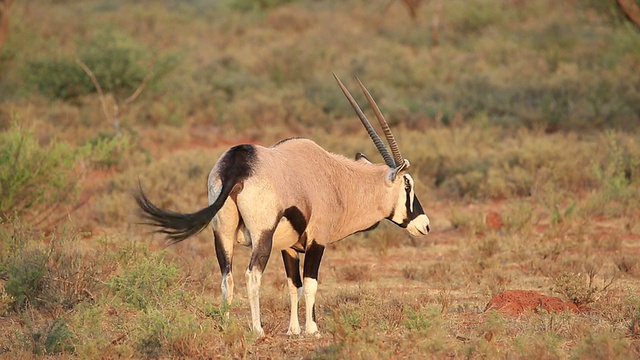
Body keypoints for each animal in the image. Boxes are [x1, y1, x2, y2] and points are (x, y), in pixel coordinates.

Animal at [134, 74, 430, 338]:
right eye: (407, 185)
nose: (425, 225)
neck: (336, 179)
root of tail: (237, 165)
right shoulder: (316, 241)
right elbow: (310, 284)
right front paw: (312, 330)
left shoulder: (289, 247)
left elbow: (293, 286)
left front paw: (293, 330)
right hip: (262, 236)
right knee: (252, 275)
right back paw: (257, 329)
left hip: (222, 233)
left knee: (226, 277)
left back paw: (225, 326)